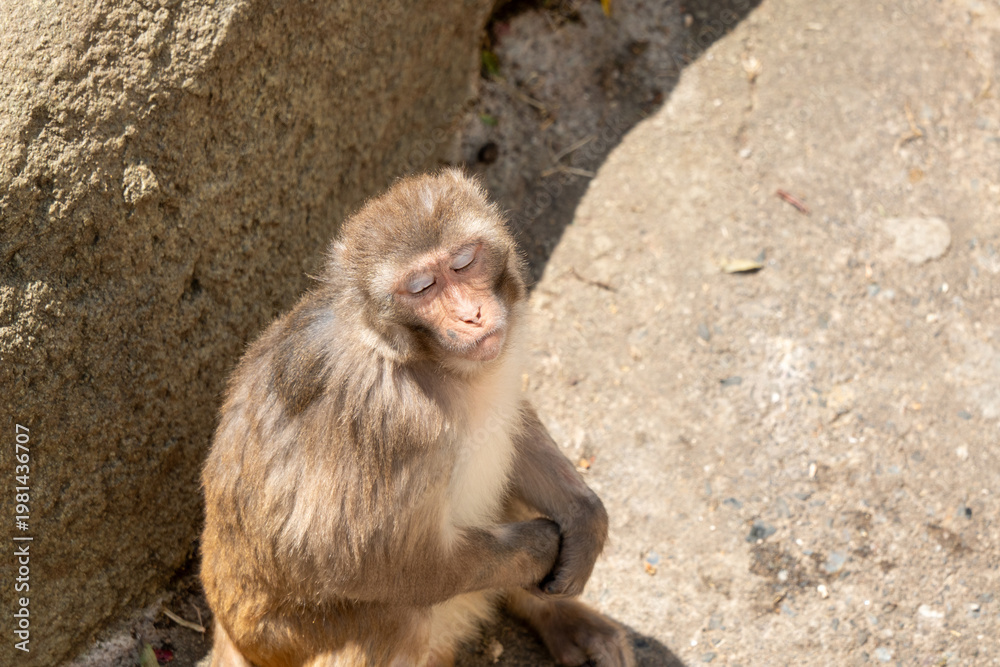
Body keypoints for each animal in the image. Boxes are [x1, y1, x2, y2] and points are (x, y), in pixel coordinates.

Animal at [200, 169, 633, 667]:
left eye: (464, 262)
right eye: (423, 287)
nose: (470, 315)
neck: (427, 363)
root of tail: (229, 632)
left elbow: (514, 420)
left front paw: (584, 519)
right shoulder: (393, 419)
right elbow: (359, 560)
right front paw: (542, 546)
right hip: (289, 639)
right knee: (400, 615)